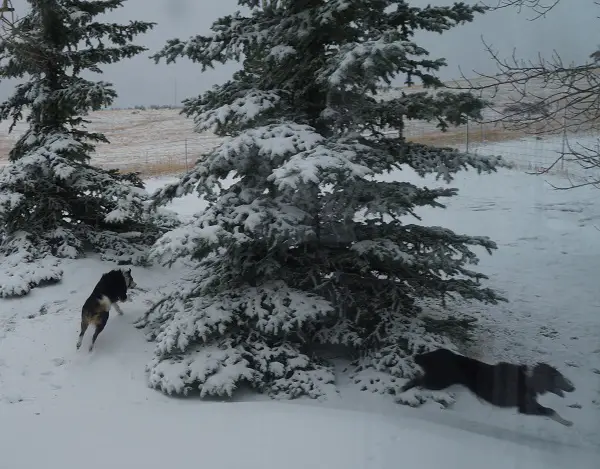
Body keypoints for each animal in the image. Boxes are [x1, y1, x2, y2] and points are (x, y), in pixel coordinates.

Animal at [400, 348, 576, 424]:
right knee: (416, 381)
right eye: (560, 378)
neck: (529, 380)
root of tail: (432, 354)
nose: (573, 388)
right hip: (438, 382)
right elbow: (551, 411)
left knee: (415, 379)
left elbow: (550, 411)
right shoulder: (526, 407)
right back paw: (403, 392)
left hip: (436, 380)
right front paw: (568, 422)